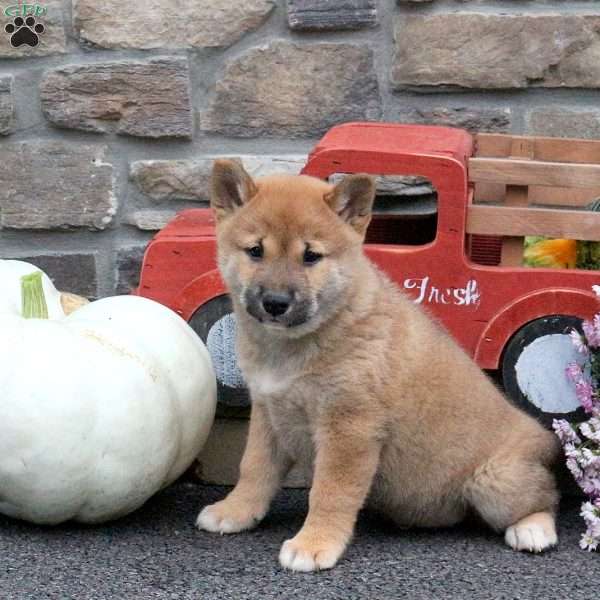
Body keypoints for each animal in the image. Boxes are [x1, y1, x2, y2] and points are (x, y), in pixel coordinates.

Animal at [198, 159, 564, 572]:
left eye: (311, 256)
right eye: (256, 251)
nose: (275, 302)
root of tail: (536, 433)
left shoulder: (349, 428)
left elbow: (329, 493)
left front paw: (313, 544)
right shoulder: (268, 415)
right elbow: (253, 470)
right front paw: (235, 511)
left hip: (495, 482)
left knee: (546, 498)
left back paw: (533, 530)